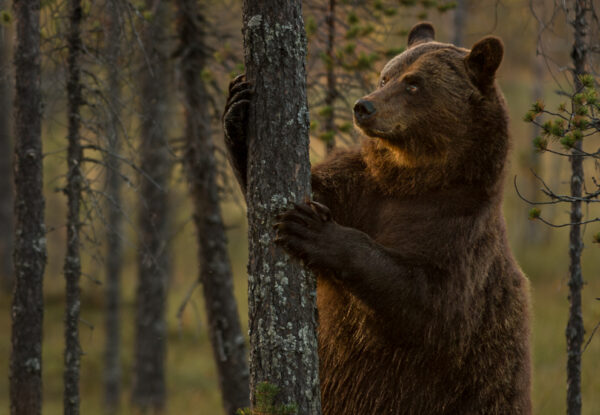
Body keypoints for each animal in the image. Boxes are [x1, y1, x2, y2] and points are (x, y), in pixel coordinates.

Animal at [224, 22, 528, 415]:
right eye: (386, 75)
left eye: (414, 84)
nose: (363, 106)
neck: (413, 178)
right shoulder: (362, 188)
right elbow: (311, 189)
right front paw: (238, 108)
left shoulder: (458, 231)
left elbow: (423, 299)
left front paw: (310, 228)